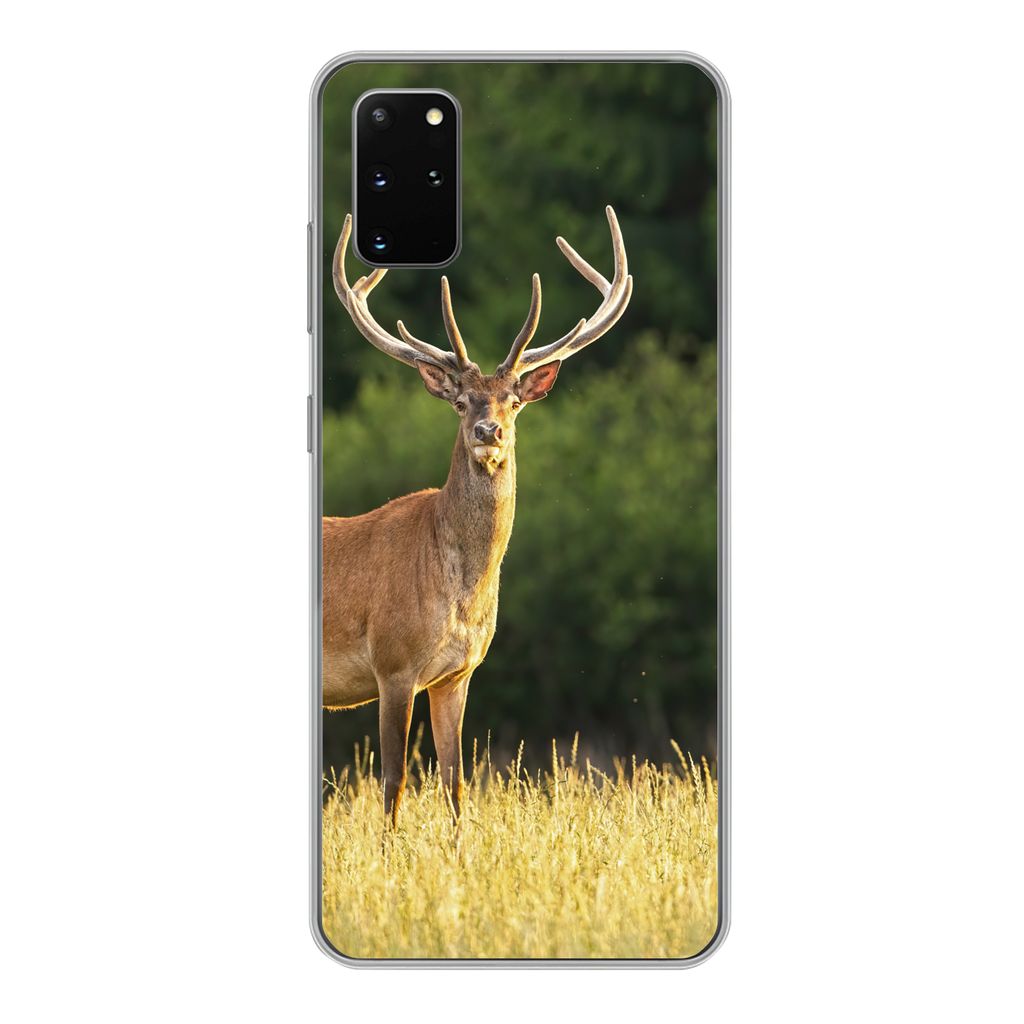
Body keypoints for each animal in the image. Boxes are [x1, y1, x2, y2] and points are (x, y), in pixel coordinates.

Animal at [322, 206, 632, 826]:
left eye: (513, 401)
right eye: (461, 402)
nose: (489, 432)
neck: (459, 594)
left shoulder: (458, 673)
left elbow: (455, 783)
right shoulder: (393, 663)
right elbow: (393, 782)